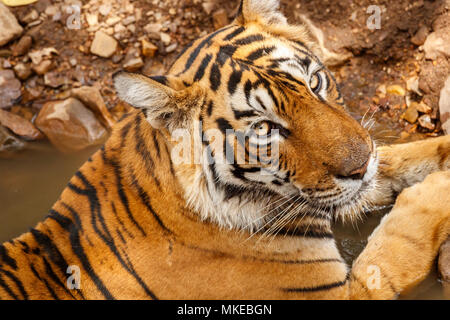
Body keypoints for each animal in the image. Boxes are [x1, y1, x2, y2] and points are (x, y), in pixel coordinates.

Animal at [0, 0, 450, 300]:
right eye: (265, 129)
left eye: (315, 82)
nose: (360, 166)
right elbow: (399, 239)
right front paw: (432, 192)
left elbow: (405, 158)